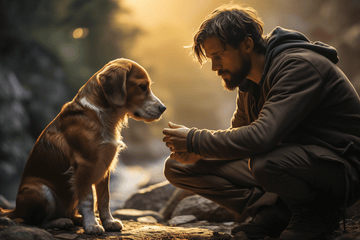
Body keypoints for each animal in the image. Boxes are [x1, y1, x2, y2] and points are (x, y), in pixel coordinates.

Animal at [0, 58, 166, 234]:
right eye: (142, 86)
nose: (163, 108)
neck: (101, 116)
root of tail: (14, 209)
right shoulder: (85, 165)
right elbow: (88, 200)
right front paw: (92, 225)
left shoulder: (105, 166)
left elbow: (104, 199)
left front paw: (108, 222)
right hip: (41, 190)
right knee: (36, 222)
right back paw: (61, 222)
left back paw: (76, 220)